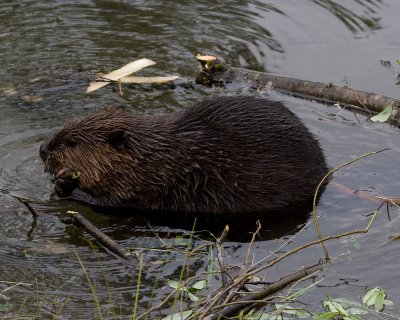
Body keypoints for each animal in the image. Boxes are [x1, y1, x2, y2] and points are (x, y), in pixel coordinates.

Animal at [39, 96, 328, 214]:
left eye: (72, 143)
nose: (42, 150)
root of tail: (326, 169)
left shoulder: (150, 184)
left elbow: (112, 202)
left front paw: (65, 182)